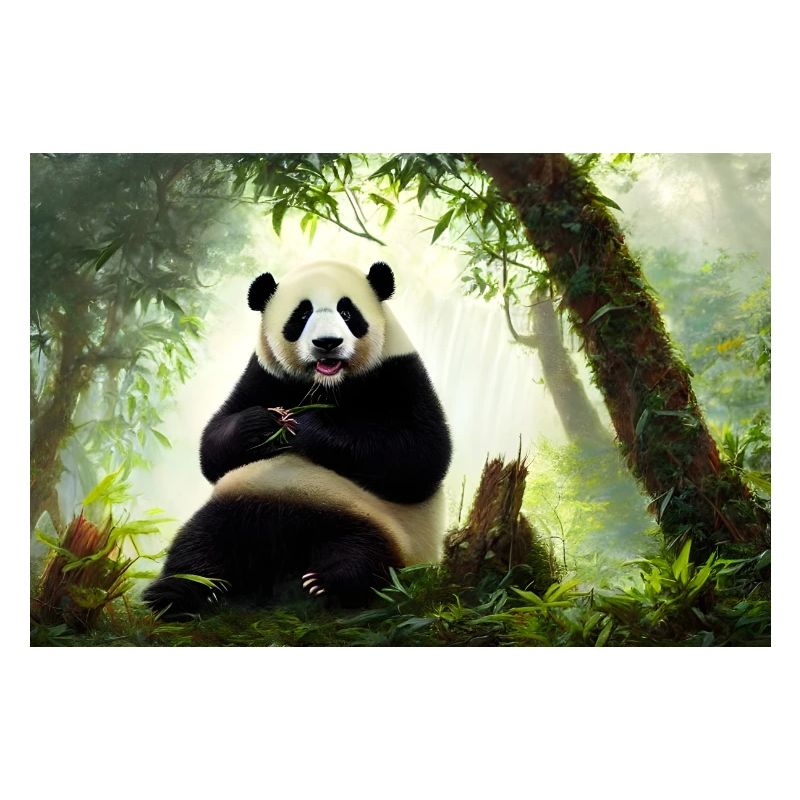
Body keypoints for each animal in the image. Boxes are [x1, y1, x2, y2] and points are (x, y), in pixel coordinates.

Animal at [143, 260, 452, 617]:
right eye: (301, 314)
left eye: (347, 312)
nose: (328, 342)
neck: (327, 384)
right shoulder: (262, 374)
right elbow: (214, 449)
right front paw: (264, 423)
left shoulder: (399, 371)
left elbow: (420, 456)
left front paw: (306, 426)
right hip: (239, 504)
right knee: (198, 545)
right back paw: (177, 593)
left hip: (385, 529)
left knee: (367, 558)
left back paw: (329, 583)